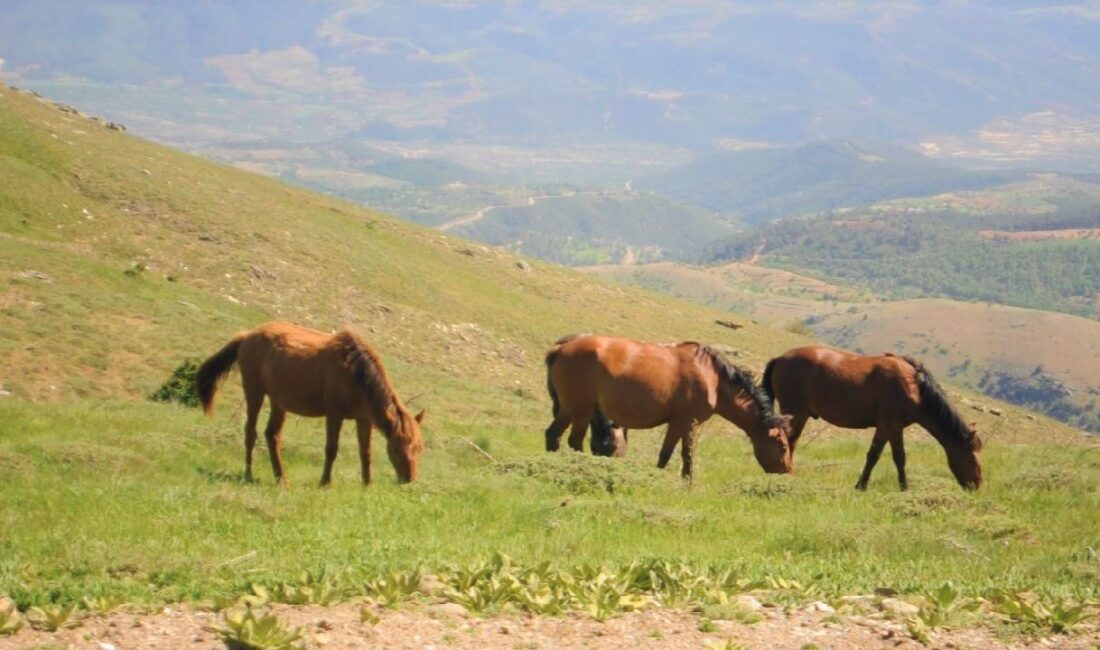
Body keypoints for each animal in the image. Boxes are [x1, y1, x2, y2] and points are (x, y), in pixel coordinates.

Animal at [195, 323, 422, 486]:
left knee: (272, 435)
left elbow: (365, 453)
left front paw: (367, 485)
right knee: (251, 432)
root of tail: (246, 336)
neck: (355, 372)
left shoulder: (363, 419)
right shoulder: (334, 414)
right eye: (395, 448)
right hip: (254, 392)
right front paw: (325, 483)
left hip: (279, 401)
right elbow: (331, 449)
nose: (408, 480)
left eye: (419, 448)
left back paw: (281, 478)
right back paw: (249, 474)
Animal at [543, 336, 792, 477]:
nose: (788, 472)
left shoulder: (681, 424)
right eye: (783, 447)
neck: (712, 378)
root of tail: (560, 349)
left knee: (553, 435)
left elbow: (675, 453)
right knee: (574, 441)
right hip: (581, 412)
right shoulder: (686, 422)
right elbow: (677, 453)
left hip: (568, 410)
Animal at [761, 347, 985, 490]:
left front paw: (861, 485)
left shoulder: (884, 427)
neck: (914, 386)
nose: (976, 487)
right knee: (788, 442)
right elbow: (899, 458)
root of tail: (779, 359)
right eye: (972, 459)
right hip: (795, 414)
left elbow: (873, 456)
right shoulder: (893, 426)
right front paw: (904, 488)